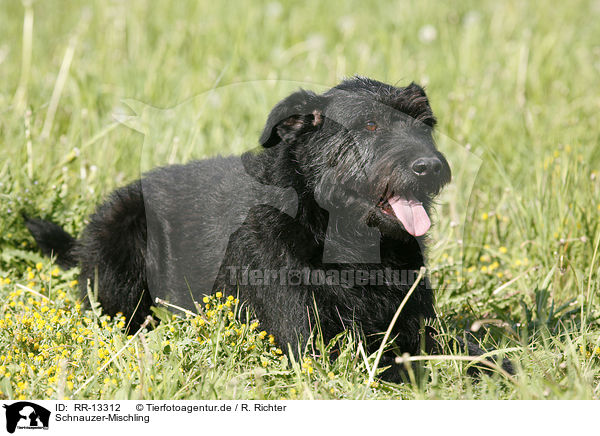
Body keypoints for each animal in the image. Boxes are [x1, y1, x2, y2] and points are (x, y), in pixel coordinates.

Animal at [25, 77, 506, 382]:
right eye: (370, 125)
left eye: (425, 124)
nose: (430, 166)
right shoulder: (308, 343)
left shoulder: (417, 326)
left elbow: (474, 352)